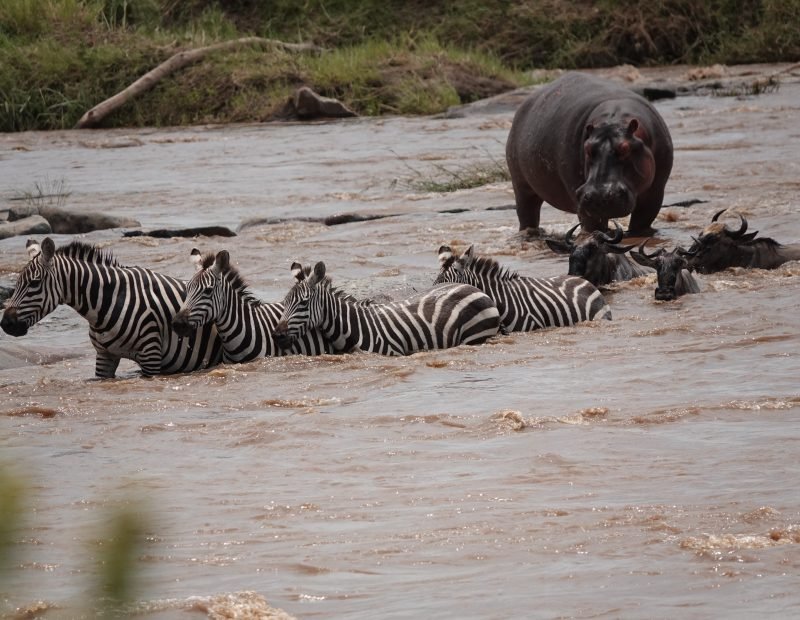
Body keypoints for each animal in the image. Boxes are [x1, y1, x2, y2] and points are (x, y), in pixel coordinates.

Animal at [274, 260, 501, 355]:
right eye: (284, 303)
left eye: (303, 303)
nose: (277, 336)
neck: (354, 328)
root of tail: (473, 287)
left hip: (475, 336)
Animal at [506, 72, 674, 235]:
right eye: (587, 148)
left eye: (625, 148)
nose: (599, 196)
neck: (614, 120)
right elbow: (592, 225)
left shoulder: (655, 193)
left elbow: (642, 221)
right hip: (521, 186)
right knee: (527, 212)